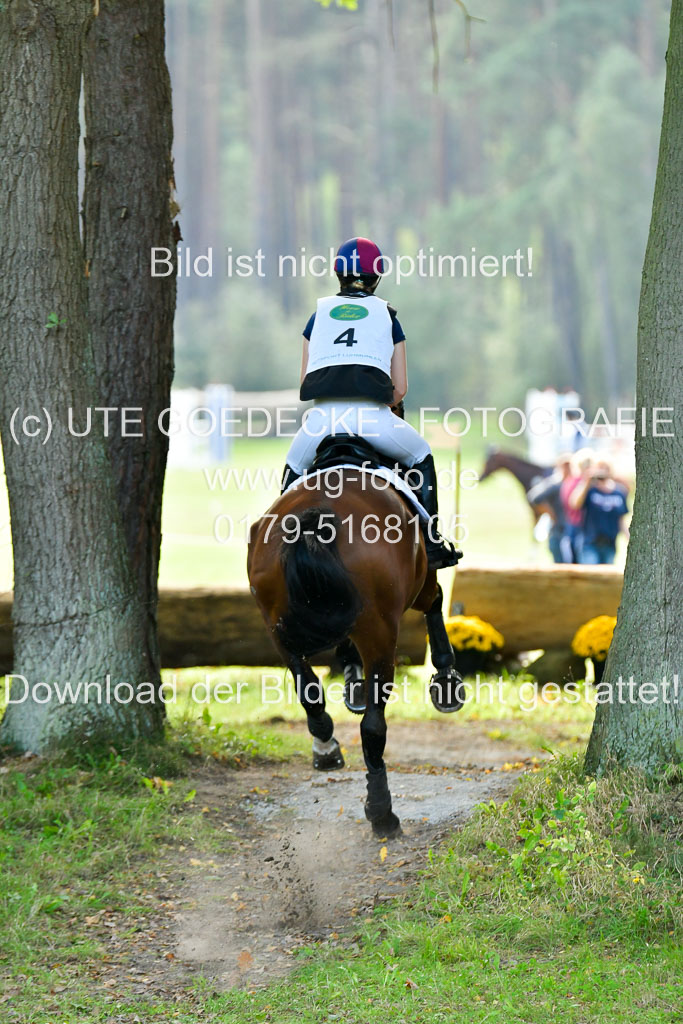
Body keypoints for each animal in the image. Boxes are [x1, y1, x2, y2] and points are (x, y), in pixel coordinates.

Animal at [247, 448, 462, 839]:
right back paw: (382, 812)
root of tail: (315, 518)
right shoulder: (422, 580)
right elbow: (437, 602)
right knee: (373, 727)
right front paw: (447, 681)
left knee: (308, 691)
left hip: (277, 627)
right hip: (380, 629)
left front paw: (353, 684)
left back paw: (326, 747)